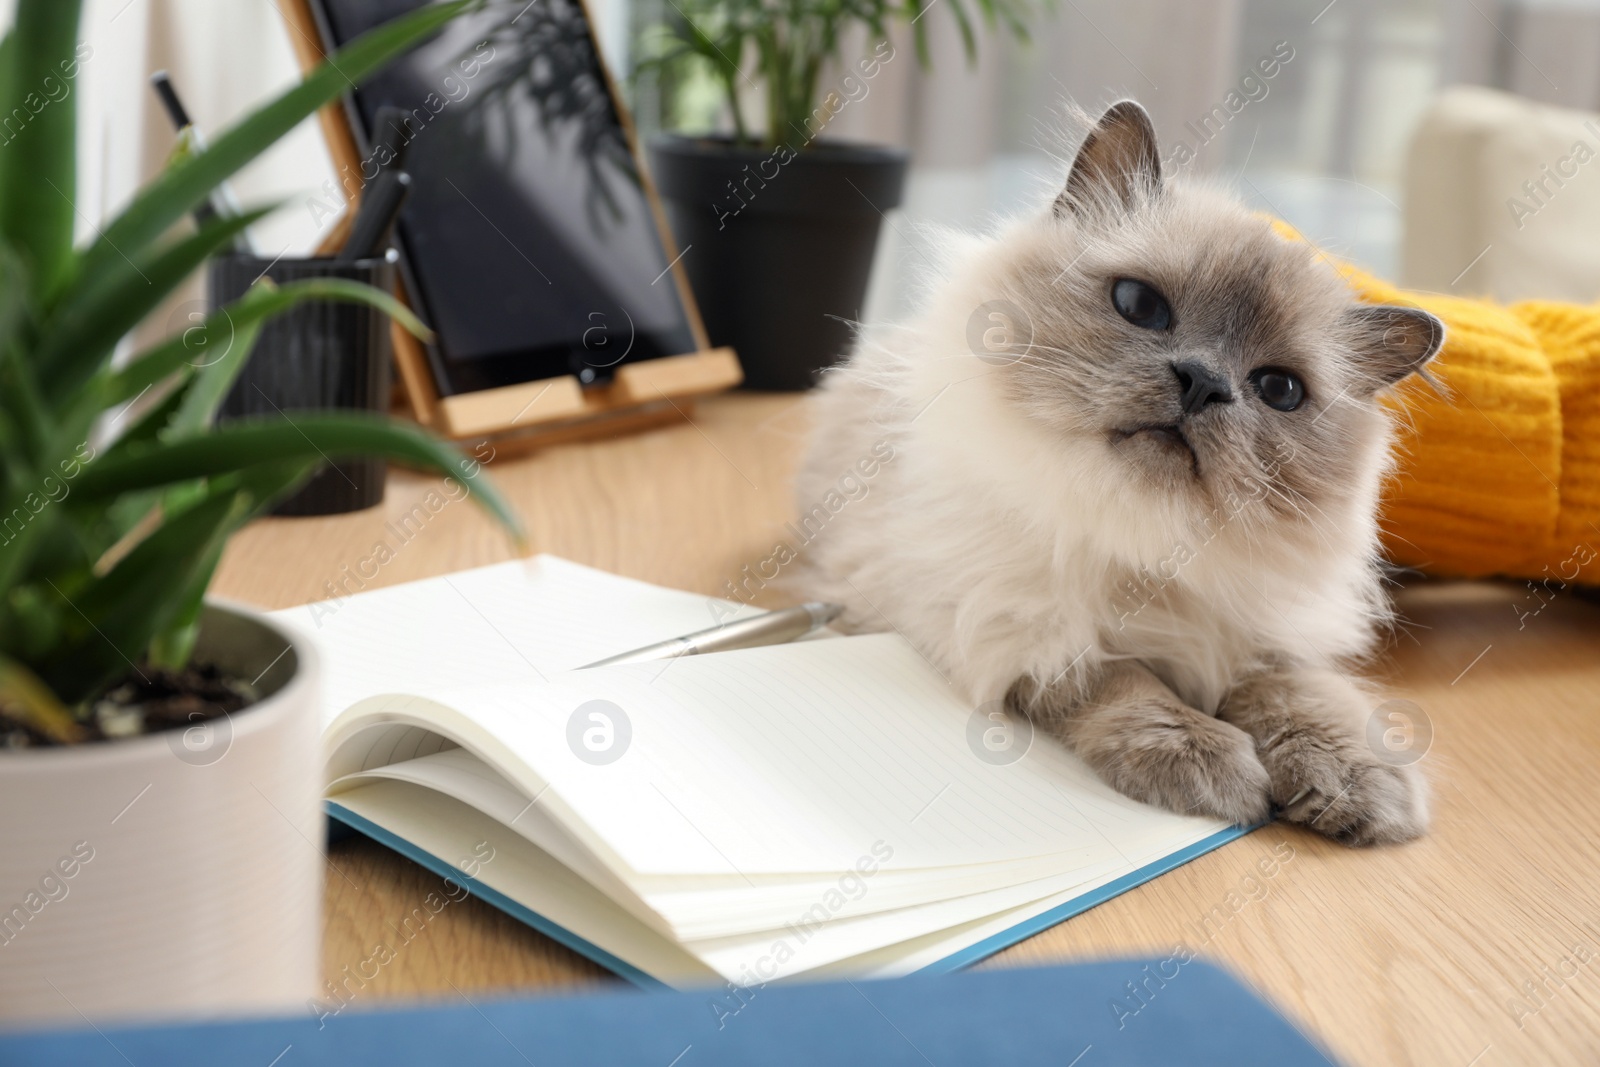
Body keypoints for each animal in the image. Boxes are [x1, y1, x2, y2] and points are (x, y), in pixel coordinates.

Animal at [796, 102, 1440, 851]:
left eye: (1279, 390)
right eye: (1140, 305)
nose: (1203, 381)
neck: (1142, 531)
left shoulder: (1256, 634)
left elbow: (1301, 697)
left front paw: (1358, 786)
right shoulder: (1009, 622)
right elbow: (1125, 681)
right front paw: (1213, 768)